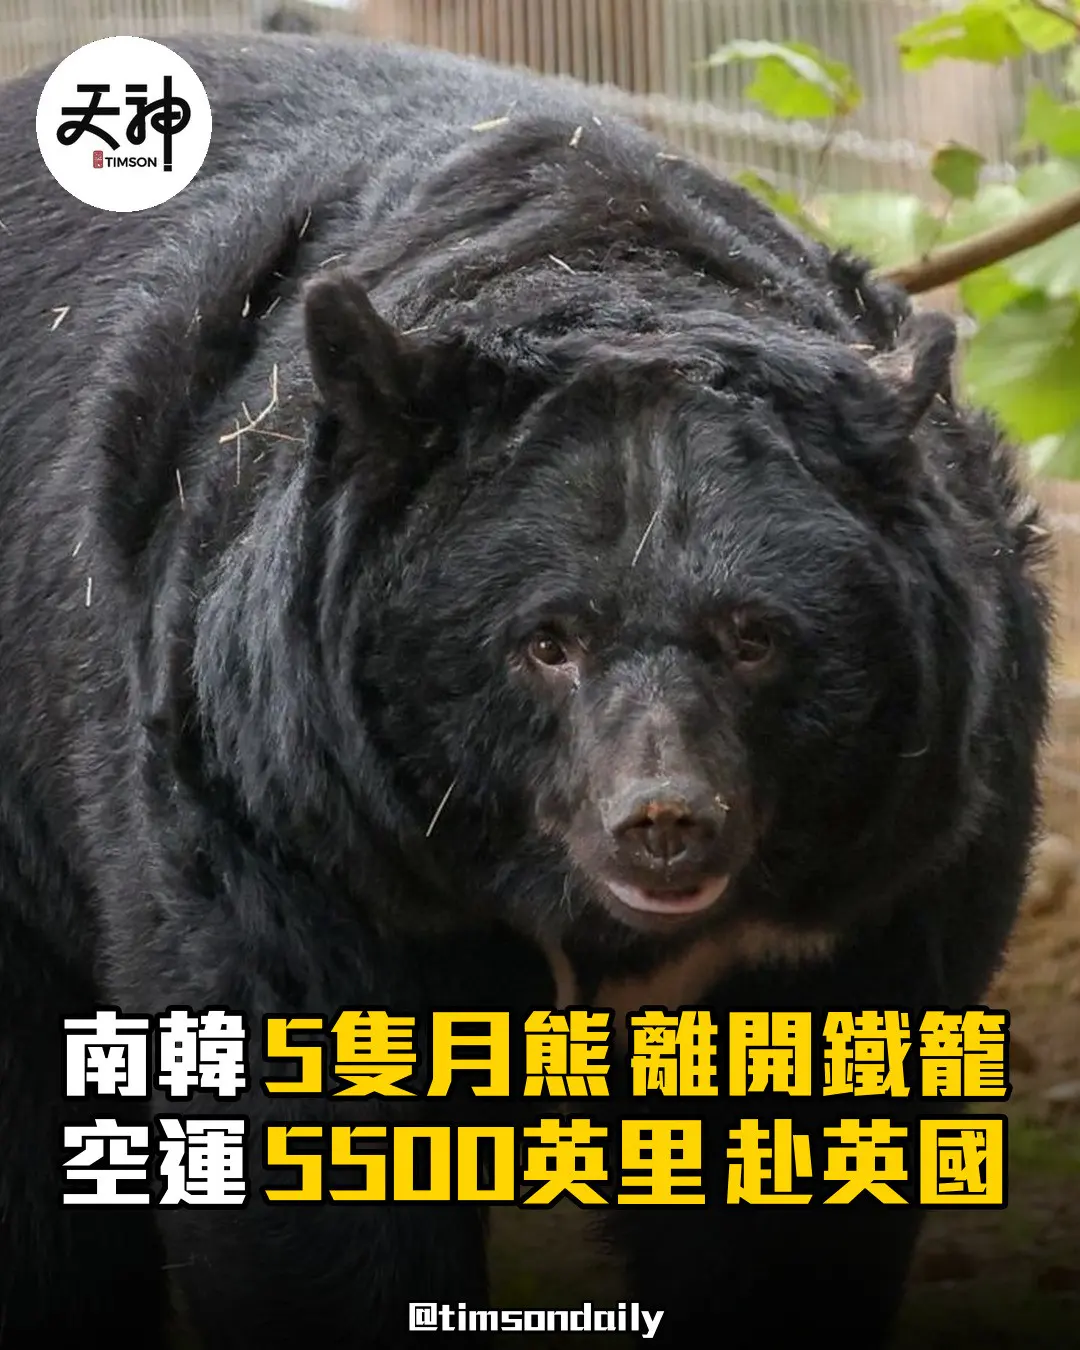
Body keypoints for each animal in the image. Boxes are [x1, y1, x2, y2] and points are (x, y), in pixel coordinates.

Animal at [0, 29, 1053, 1350]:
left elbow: (797, 1187)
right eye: (547, 641)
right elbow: (307, 1163)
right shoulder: (277, 808)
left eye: (755, 638)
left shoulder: (891, 868)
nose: (664, 824)